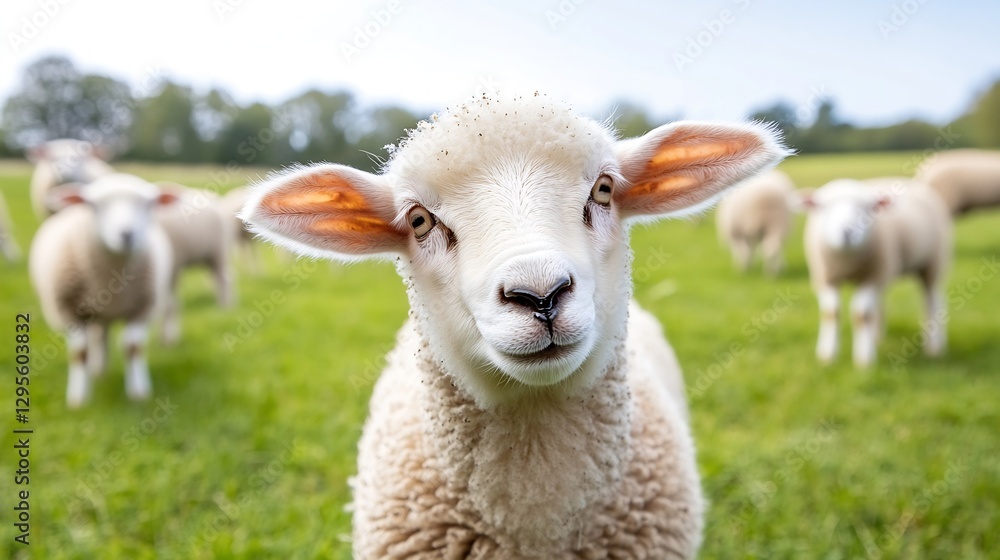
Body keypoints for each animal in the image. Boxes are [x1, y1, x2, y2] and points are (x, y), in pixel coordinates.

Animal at [29, 174, 176, 407]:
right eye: (94, 205)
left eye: (149, 204)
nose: (127, 234)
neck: (112, 277)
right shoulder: (68, 311)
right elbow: (80, 353)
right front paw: (78, 399)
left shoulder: (143, 308)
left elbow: (133, 348)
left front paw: (139, 392)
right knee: (96, 340)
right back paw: (97, 371)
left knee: (102, 337)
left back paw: (100, 370)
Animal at [152, 183, 234, 343]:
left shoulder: (173, 268)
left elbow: (169, 305)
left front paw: (169, 338)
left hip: (218, 252)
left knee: (224, 279)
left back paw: (224, 308)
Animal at [794, 177, 952, 368]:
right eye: (822, 207)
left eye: (868, 208)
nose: (847, 232)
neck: (848, 262)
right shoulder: (826, 278)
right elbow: (831, 313)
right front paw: (827, 356)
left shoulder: (871, 278)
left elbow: (862, 315)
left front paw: (865, 360)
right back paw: (877, 337)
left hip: (933, 262)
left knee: (933, 302)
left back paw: (935, 347)